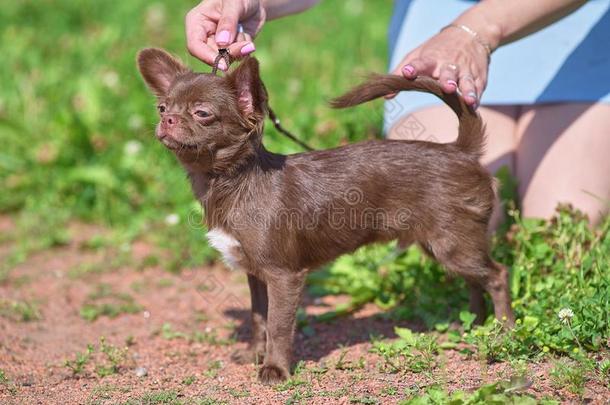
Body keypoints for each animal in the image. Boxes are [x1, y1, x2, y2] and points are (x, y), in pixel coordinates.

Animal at [137, 47, 512, 382]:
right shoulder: (256, 275)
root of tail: (459, 150)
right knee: (475, 280)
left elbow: (278, 324)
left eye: (202, 113)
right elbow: (259, 318)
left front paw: (275, 369)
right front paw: (254, 354)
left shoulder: (283, 276)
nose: (166, 120)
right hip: (445, 246)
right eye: (161, 107)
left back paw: (503, 330)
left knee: (497, 275)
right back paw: (474, 323)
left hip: (453, 244)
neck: (233, 182)